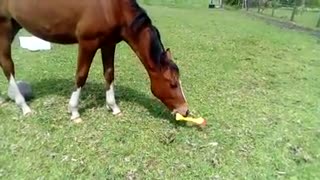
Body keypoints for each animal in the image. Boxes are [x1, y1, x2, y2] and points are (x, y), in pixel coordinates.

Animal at [0, 0, 190, 121]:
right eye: (173, 84)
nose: (186, 110)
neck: (111, 8)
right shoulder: (87, 44)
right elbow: (81, 75)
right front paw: (74, 111)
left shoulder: (108, 44)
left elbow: (109, 74)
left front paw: (113, 107)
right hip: (5, 26)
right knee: (8, 65)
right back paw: (24, 106)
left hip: (14, 25)